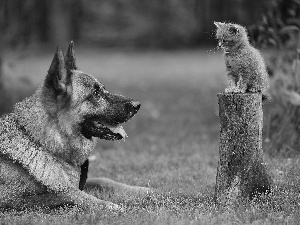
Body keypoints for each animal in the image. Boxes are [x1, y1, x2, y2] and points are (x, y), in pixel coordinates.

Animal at [0, 41, 149, 211]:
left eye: (103, 90)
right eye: (96, 94)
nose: (137, 105)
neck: (43, 142)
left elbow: (103, 180)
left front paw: (142, 190)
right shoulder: (14, 198)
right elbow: (69, 194)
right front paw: (110, 206)